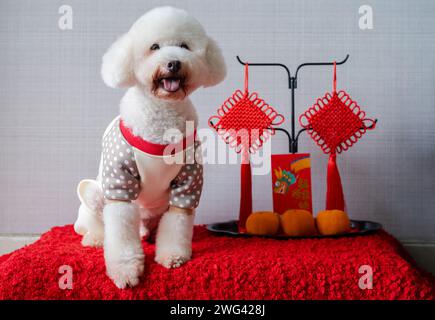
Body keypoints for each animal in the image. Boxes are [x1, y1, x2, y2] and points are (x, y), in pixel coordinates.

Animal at [73, 6, 227, 288]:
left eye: (184, 46)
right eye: (154, 47)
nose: (174, 62)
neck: (162, 119)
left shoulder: (187, 183)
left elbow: (177, 222)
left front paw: (173, 256)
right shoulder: (120, 184)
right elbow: (120, 231)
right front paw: (125, 270)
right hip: (95, 192)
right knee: (97, 220)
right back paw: (96, 238)